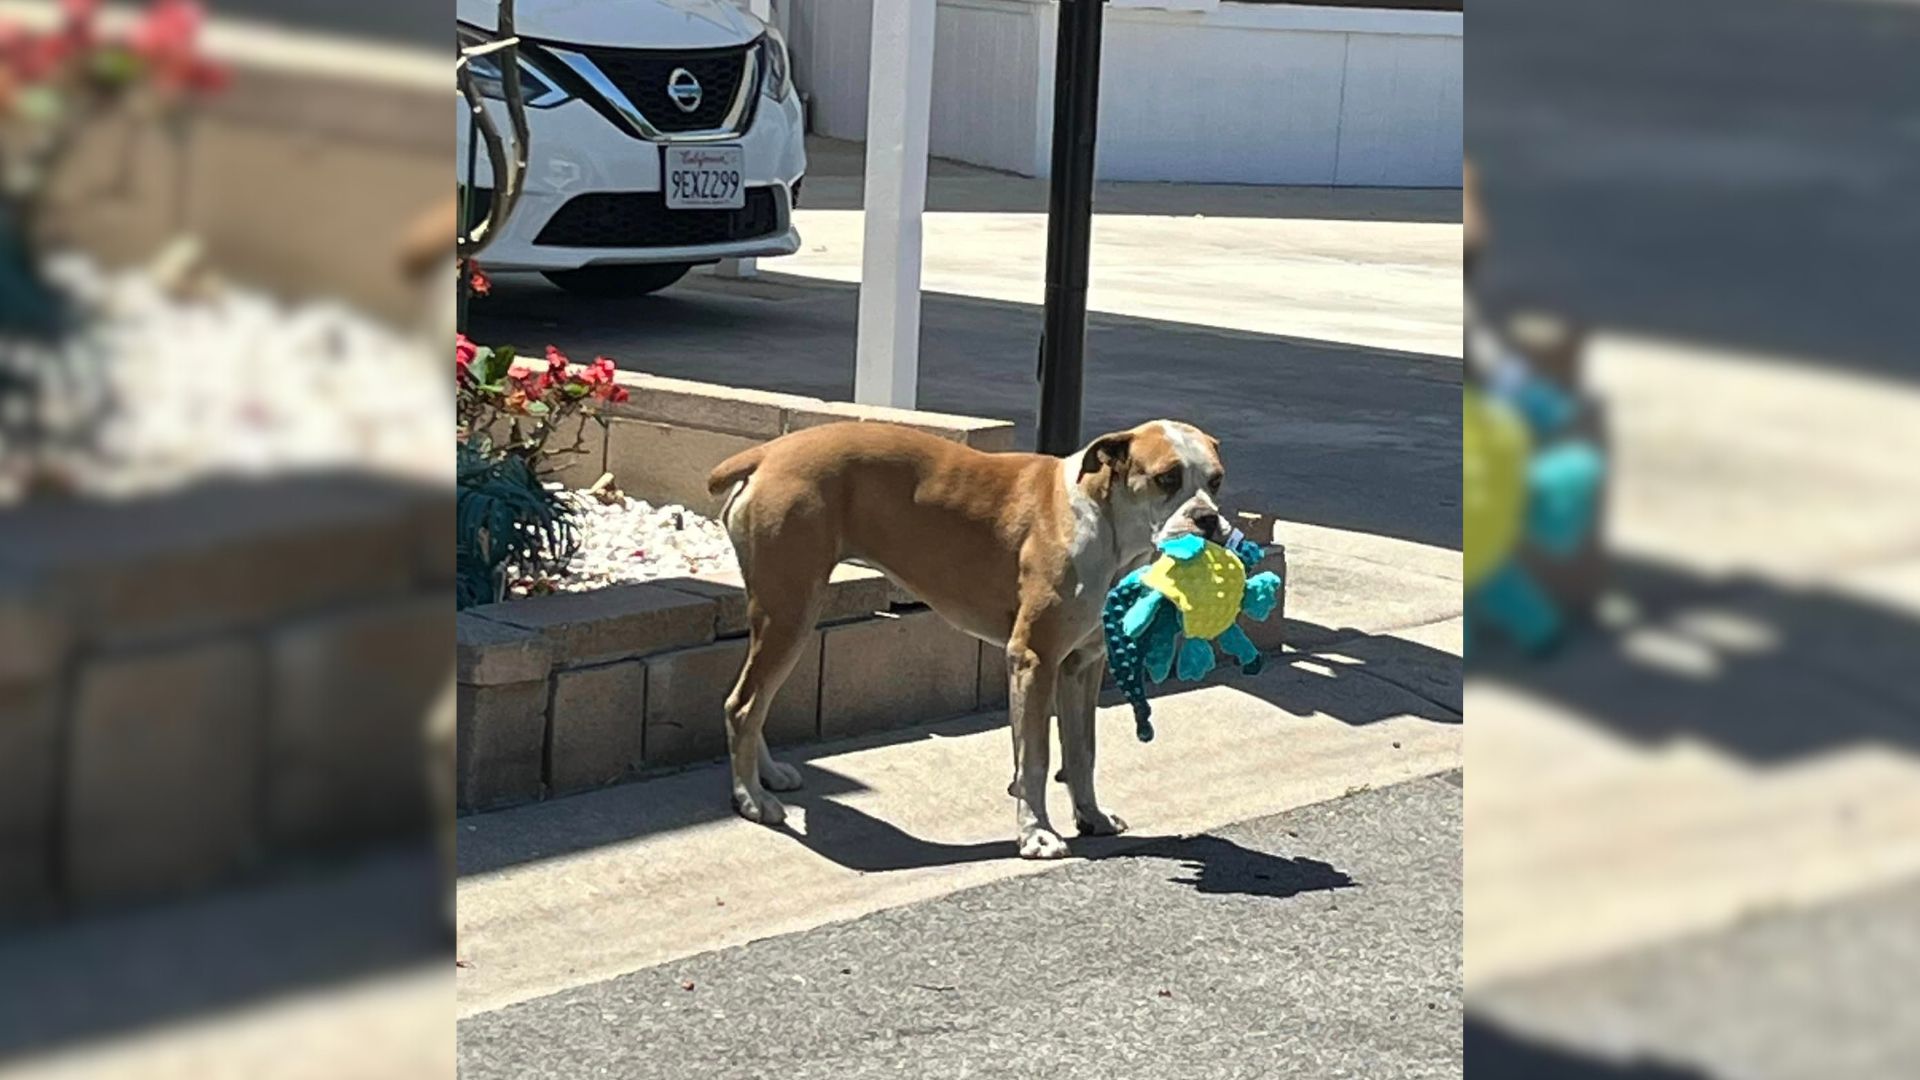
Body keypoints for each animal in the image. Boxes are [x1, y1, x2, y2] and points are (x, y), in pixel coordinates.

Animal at [706, 417, 1228, 853]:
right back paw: (751, 798)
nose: (1208, 519)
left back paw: (766, 776)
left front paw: (1091, 816)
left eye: (1216, 480)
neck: (1105, 521)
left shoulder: (1081, 666)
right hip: (789, 613)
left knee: (751, 700)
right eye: (1166, 478)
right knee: (743, 705)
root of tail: (768, 452)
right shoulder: (1033, 659)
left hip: (785, 619)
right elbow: (1034, 758)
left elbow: (1082, 751)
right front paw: (1036, 834)